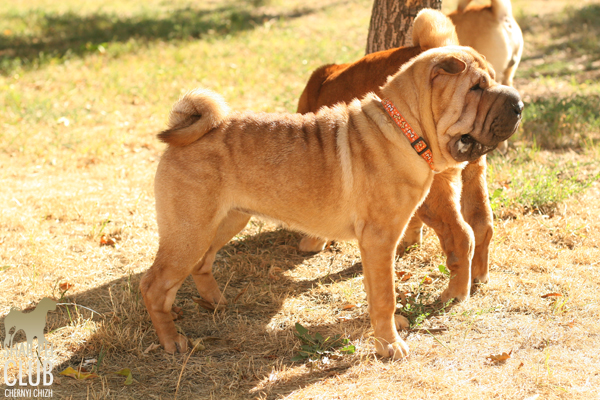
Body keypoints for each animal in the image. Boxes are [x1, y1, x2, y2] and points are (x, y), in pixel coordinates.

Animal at [141, 45, 522, 359]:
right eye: (476, 88)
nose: (519, 104)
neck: (405, 130)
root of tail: (187, 132)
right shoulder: (379, 239)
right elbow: (385, 296)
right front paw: (390, 346)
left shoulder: (377, 244)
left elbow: (375, 292)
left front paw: (388, 331)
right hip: (191, 230)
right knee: (154, 284)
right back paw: (172, 340)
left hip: (225, 221)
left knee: (199, 265)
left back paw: (215, 303)